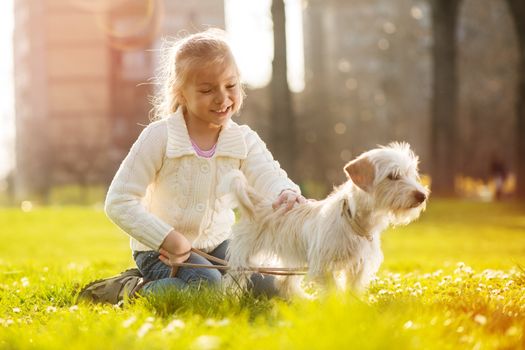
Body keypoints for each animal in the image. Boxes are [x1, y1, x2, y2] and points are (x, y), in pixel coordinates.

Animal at [219, 141, 428, 296]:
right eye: (393, 176)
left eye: (411, 174)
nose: (422, 195)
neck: (353, 221)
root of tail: (259, 202)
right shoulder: (323, 267)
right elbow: (333, 293)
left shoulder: (357, 267)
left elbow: (352, 292)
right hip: (243, 260)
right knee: (233, 282)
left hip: (292, 259)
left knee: (285, 282)